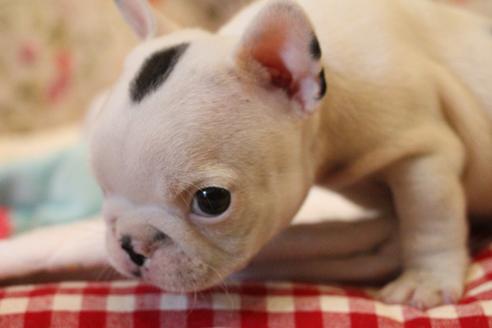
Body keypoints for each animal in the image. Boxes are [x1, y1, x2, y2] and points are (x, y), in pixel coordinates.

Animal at [90, 0, 492, 310]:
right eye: (102, 188)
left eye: (212, 201)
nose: (131, 246)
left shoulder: (423, 152)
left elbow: (429, 219)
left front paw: (425, 281)